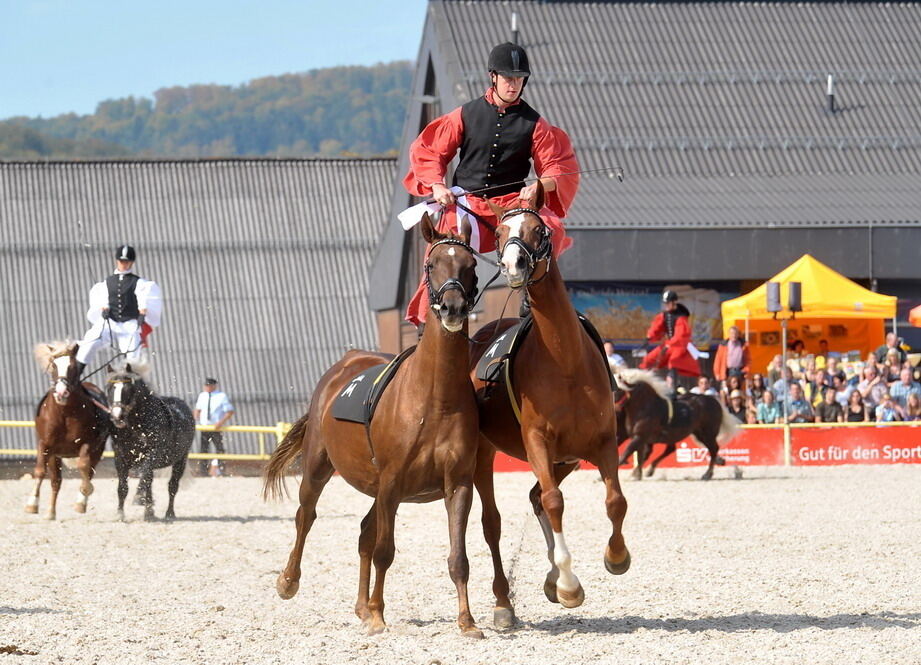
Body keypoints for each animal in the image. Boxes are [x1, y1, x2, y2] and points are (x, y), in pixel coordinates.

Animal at [30, 342, 112, 520]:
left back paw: (81, 502)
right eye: (53, 365)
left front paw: (84, 494)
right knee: (56, 481)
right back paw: (50, 512)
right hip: (55, 456)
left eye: (72, 366)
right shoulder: (45, 445)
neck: (64, 413)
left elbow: (83, 466)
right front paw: (32, 504)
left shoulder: (88, 444)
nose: (61, 392)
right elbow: (40, 471)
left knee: (88, 471)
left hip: (98, 450)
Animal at [106, 368, 194, 520]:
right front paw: (120, 514)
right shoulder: (120, 459)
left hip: (181, 459)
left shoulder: (151, 456)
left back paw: (169, 513)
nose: (117, 416)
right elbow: (122, 487)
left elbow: (146, 478)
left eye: (128, 389)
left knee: (172, 486)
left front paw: (146, 508)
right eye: (110, 389)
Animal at [262, 215, 486, 636]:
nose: (452, 306)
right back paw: (289, 581)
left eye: (470, 265)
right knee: (306, 516)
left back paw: (361, 607)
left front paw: (467, 622)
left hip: (376, 489)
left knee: (364, 533)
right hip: (320, 468)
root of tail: (346, 362)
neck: (435, 399)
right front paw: (379, 615)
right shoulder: (392, 483)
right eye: (431, 265)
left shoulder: (458, 484)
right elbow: (385, 551)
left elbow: (459, 557)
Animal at [470, 183, 628, 616]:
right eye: (498, 233)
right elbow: (555, 501)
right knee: (511, 512)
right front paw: (569, 584)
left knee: (536, 496)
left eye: (539, 229)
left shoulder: (602, 441)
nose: (514, 265)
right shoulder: (538, 442)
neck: (565, 361)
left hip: (567, 458)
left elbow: (615, 502)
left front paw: (616, 556)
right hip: (486, 454)